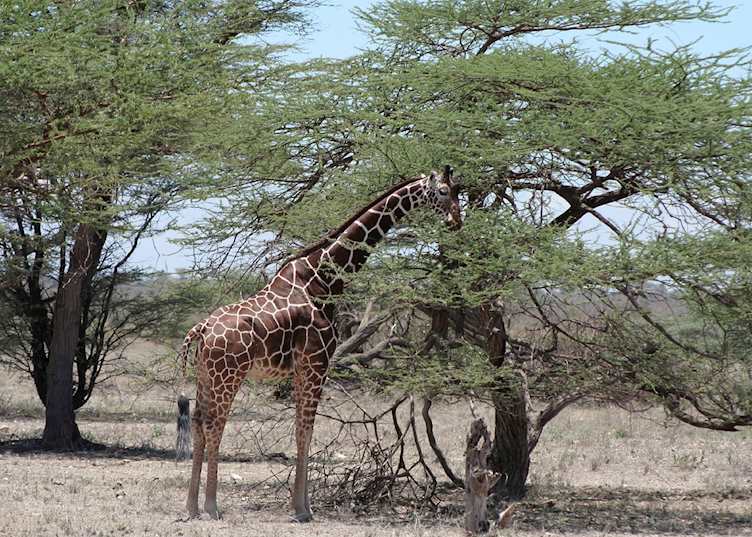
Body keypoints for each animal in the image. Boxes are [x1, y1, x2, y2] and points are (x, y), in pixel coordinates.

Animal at [176, 166, 462, 522]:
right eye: (443, 192)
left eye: (458, 190)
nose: (456, 221)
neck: (324, 279)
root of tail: (201, 329)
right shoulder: (316, 362)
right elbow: (305, 430)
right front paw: (301, 510)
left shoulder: (305, 366)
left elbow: (303, 430)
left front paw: (304, 505)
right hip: (228, 374)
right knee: (214, 424)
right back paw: (212, 507)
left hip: (206, 375)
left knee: (198, 422)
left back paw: (191, 507)